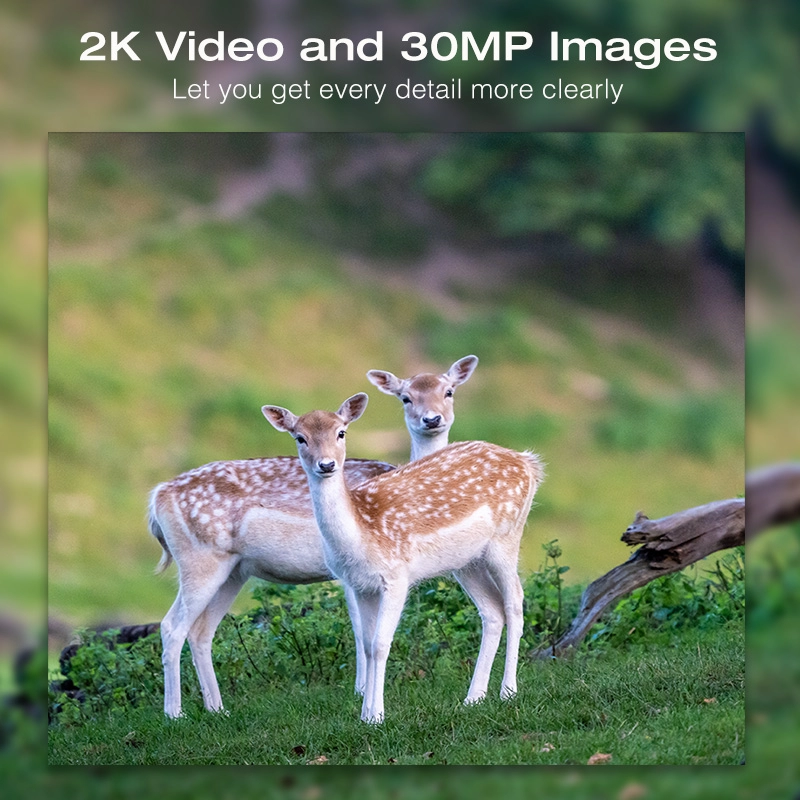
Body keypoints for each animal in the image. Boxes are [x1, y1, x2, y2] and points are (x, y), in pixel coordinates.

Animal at [148, 356, 478, 720]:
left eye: (449, 391)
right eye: (405, 398)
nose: (432, 419)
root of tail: (156, 500)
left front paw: (361, 692)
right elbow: (359, 627)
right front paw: (361, 691)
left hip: (233, 571)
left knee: (201, 630)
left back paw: (217, 708)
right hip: (198, 560)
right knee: (171, 626)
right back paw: (174, 713)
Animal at [262, 394, 544, 724]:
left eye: (341, 432)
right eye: (300, 437)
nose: (327, 464)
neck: (362, 534)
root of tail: (529, 463)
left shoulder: (396, 576)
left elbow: (381, 644)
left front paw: (377, 716)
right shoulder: (360, 585)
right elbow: (367, 645)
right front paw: (364, 715)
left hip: (507, 536)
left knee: (515, 602)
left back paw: (507, 691)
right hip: (467, 562)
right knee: (492, 611)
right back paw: (473, 698)